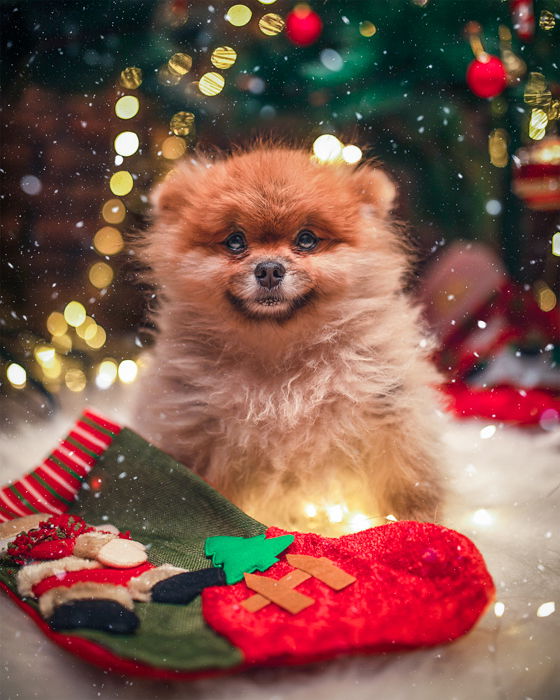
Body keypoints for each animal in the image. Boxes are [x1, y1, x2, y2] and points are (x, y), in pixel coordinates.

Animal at [133, 146, 444, 532]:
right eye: (235, 241)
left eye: (306, 239)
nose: (269, 269)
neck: (279, 356)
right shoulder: (194, 430)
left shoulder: (388, 413)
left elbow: (408, 485)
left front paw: (427, 527)